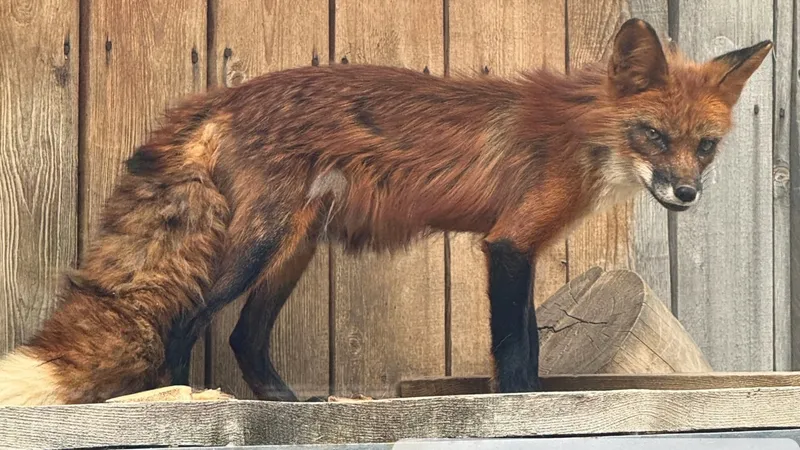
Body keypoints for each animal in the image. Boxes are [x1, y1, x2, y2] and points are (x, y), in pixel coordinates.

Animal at [0, 18, 771, 405]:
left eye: (704, 146)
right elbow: (516, 348)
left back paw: (282, 403)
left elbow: (525, 337)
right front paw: (520, 407)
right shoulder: (509, 243)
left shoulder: (519, 245)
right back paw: (182, 399)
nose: (686, 194)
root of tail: (230, 93)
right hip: (255, 247)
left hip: (295, 246)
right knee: (186, 321)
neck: (585, 136)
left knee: (246, 336)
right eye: (655, 137)